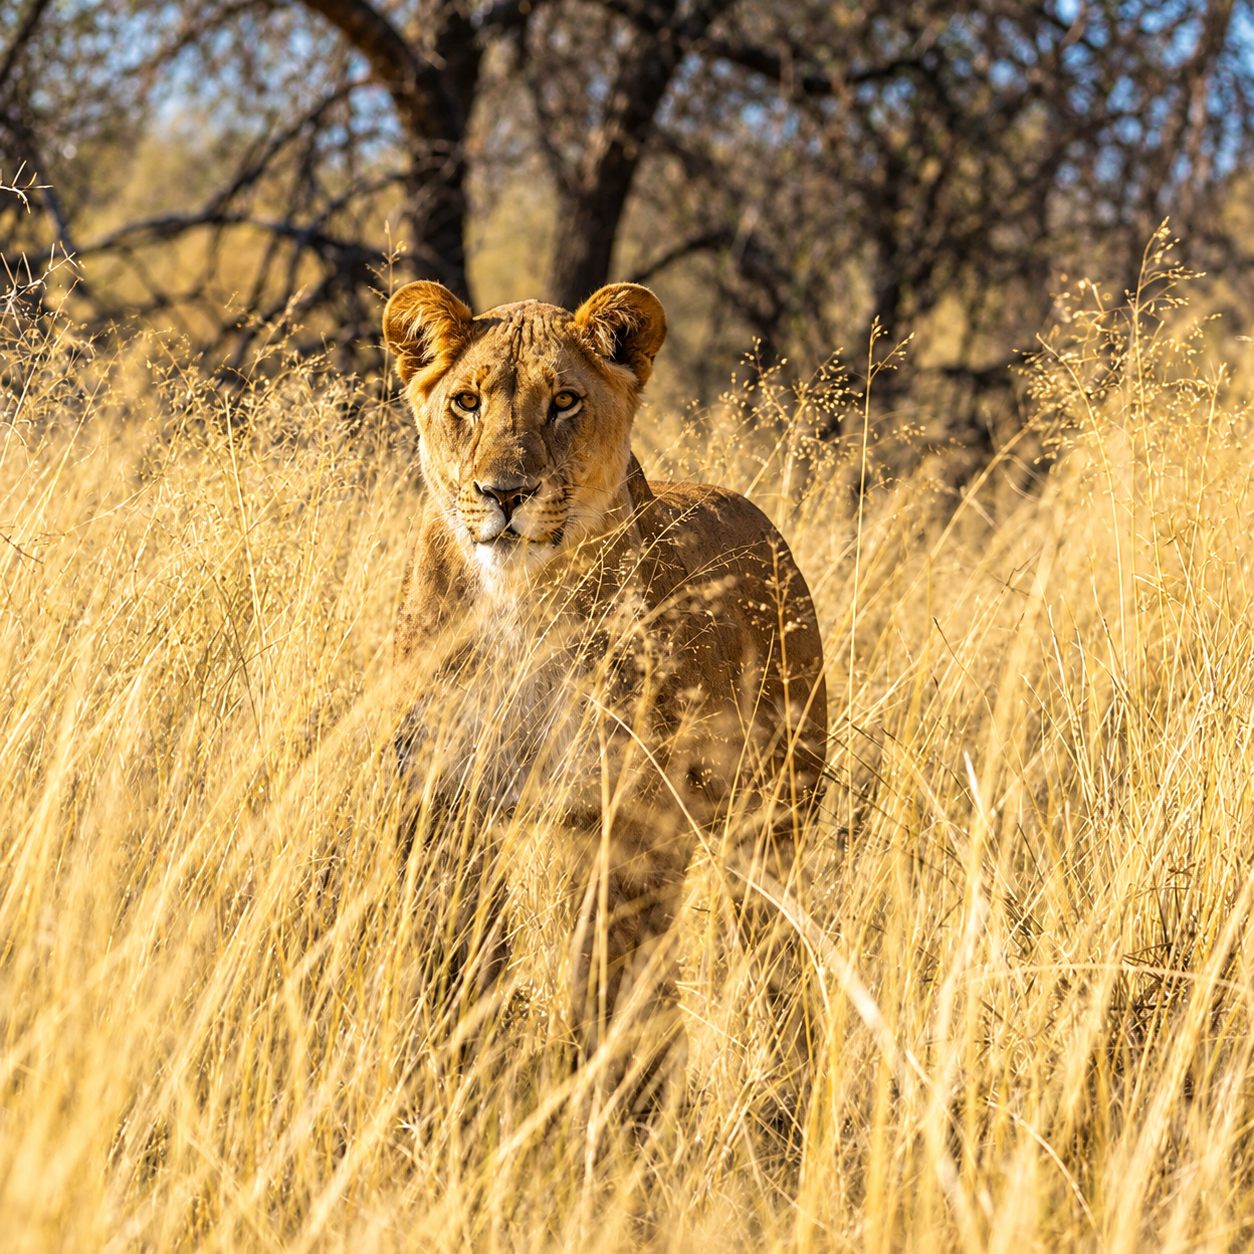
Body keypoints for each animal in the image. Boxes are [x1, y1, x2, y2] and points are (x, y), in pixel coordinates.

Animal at [383, 280, 827, 1094]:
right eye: (466, 401)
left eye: (564, 401)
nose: (505, 492)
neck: (520, 604)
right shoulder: (441, 803)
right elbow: (460, 961)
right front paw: (457, 1083)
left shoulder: (626, 819)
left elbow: (606, 981)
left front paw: (597, 1097)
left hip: (772, 818)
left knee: (777, 951)